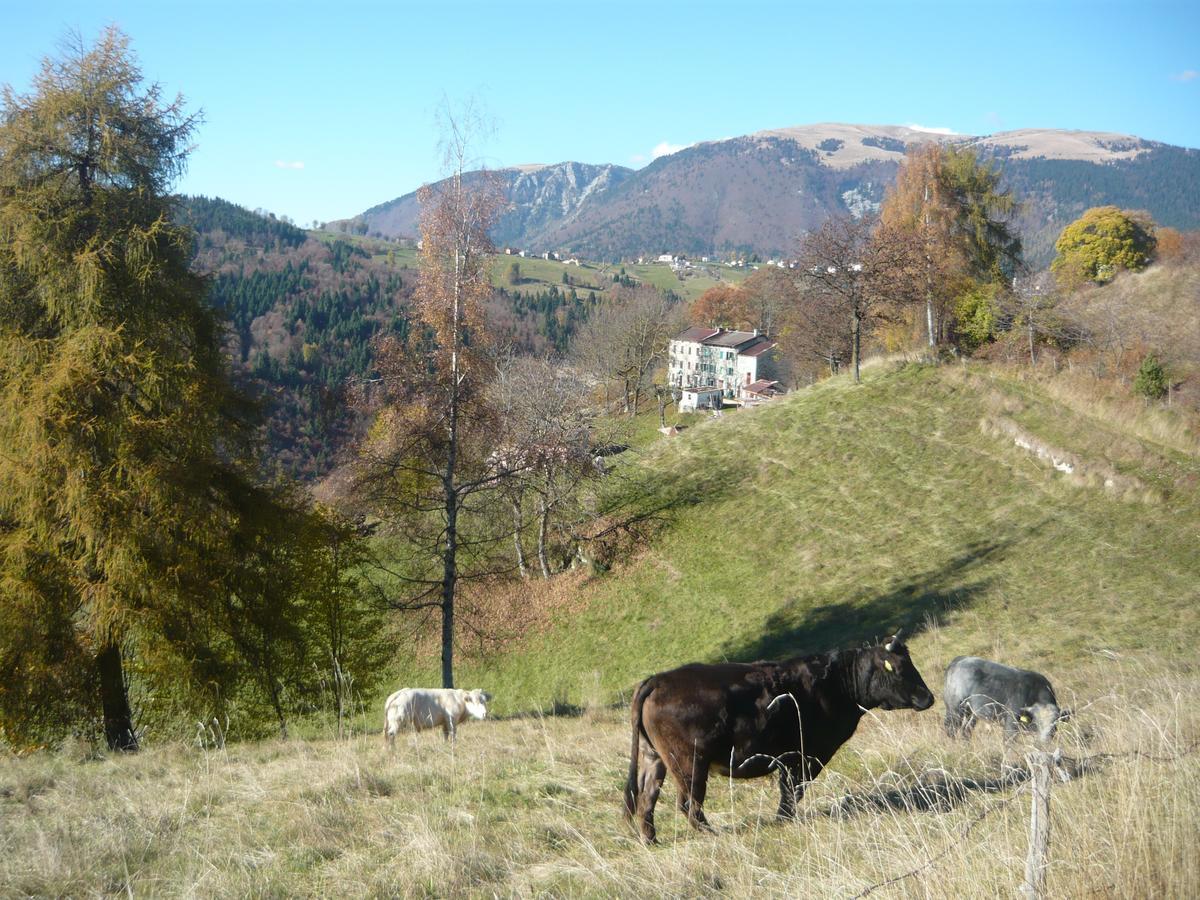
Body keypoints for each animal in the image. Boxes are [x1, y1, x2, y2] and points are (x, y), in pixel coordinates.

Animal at [624, 633, 931, 844]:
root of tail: (658, 680)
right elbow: (792, 792)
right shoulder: (806, 756)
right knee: (689, 803)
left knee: (646, 799)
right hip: (690, 763)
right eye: (899, 669)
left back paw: (651, 840)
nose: (928, 697)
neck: (835, 683)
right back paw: (712, 833)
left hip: (655, 758)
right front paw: (783, 820)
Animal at [940, 657, 1075, 744]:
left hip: (972, 713)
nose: (1044, 741)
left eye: (1055, 724)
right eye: (1037, 723)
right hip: (955, 709)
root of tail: (959, 660)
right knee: (951, 729)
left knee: (966, 730)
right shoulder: (1011, 723)